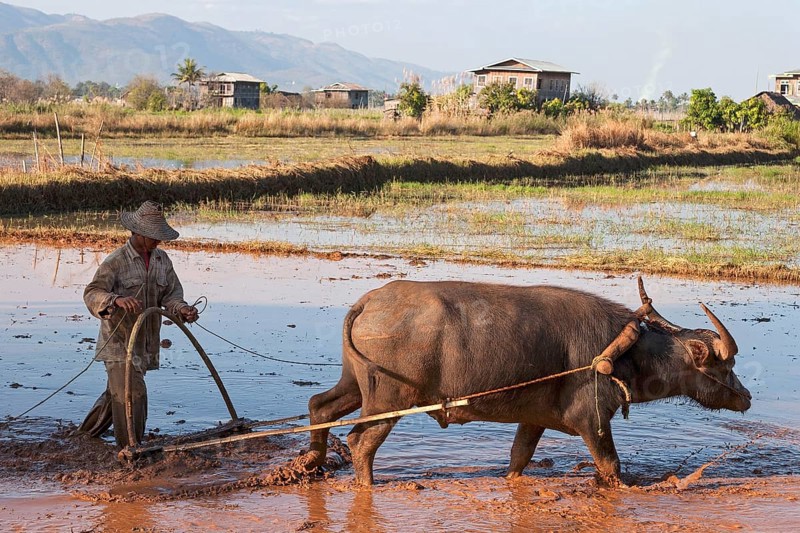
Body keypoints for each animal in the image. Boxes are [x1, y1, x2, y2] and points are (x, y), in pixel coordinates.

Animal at [307, 277, 751, 486]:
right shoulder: (592, 420)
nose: (746, 397)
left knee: (320, 405)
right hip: (389, 399)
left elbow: (518, 458)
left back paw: (311, 463)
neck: (621, 352)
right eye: (723, 366)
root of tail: (369, 302)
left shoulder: (533, 419)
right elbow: (610, 465)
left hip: (355, 385)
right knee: (359, 441)